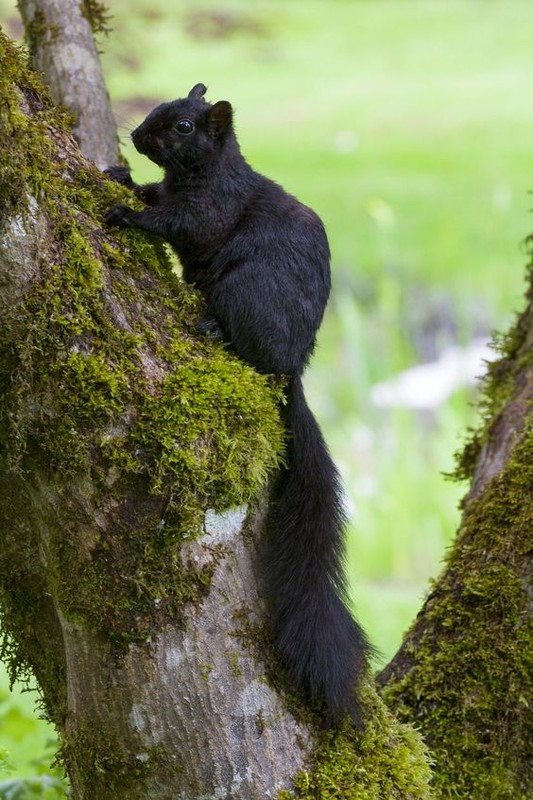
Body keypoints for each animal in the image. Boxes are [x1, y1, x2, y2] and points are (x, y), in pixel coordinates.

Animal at [104, 83, 370, 724]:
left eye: (181, 126)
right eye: (162, 111)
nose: (136, 136)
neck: (203, 172)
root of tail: (291, 369)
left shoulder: (211, 211)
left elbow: (180, 225)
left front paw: (128, 212)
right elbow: (156, 196)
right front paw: (122, 178)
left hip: (244, 293)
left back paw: (211, 328)